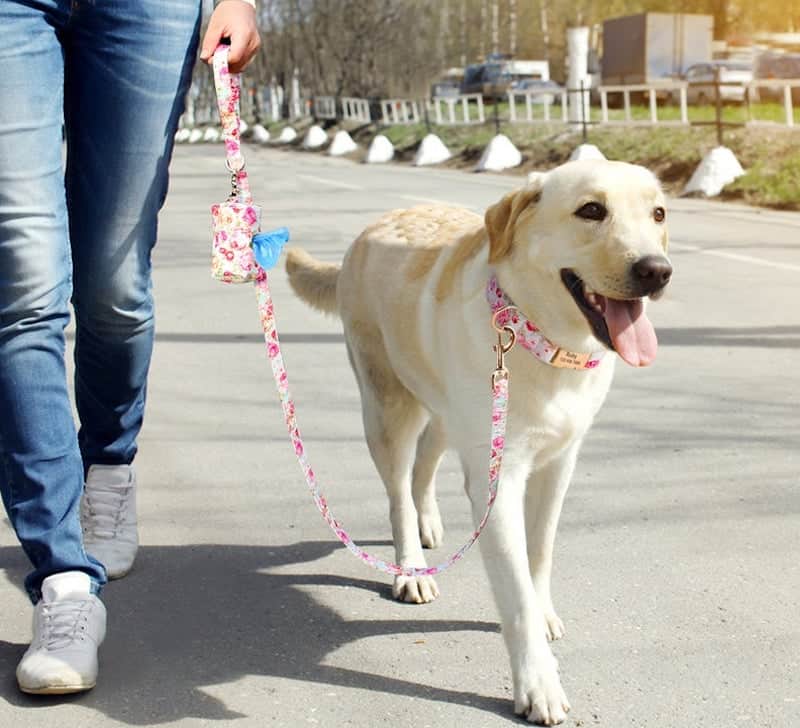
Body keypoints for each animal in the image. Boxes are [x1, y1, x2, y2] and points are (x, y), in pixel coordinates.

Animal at [284, 162, 672, 724]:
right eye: (591, 210)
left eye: (658, 213)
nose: (656, 271)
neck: (543, 343)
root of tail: (372, 228)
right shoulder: (500, 482)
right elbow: (514, 593)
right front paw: (538, 683)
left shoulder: (559, 464)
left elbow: (540, 554)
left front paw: (543, 608)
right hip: (387, 408)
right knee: (398, 490)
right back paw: (411, 568)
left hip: (448, 411)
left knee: (425, 463)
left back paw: (428, 523)